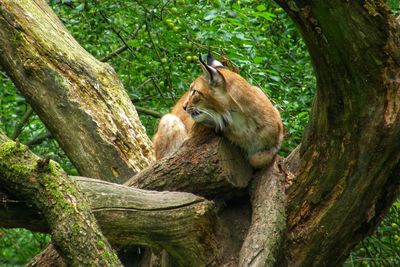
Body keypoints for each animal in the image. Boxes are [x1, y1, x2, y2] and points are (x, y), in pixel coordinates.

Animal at [152, 52, 282, 170]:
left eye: (194, 92)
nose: (183, 107)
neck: (241, 122)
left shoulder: (276, 137)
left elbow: (261, 158)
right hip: (169, 118)